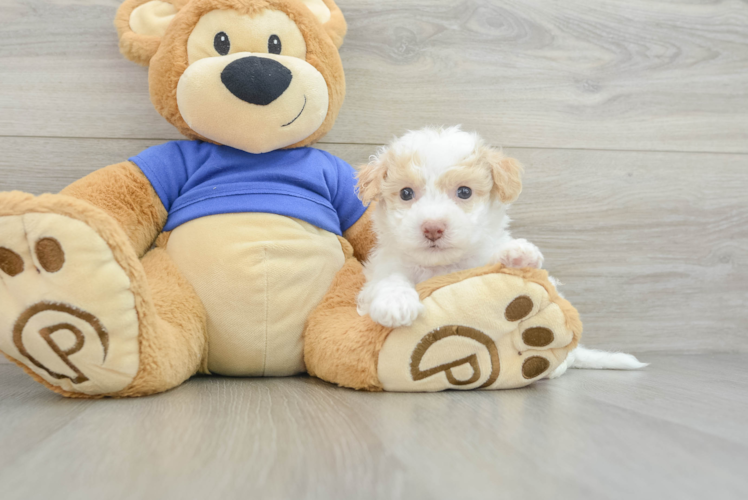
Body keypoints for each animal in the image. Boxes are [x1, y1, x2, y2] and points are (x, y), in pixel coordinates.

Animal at [354, 125, 540, 328]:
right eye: (405, 193)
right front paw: (395, 301)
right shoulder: (383, 266)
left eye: (465, 192)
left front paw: (515, 253)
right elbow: (389, 277)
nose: (432, 228)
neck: (439, 266)